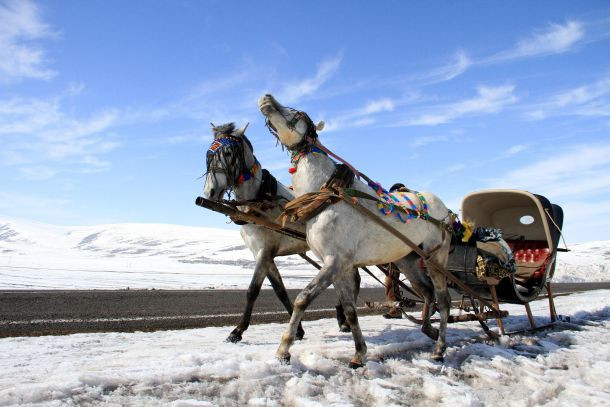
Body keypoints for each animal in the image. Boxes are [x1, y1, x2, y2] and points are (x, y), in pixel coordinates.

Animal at [202, 122, 358, 342]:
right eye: (208, 154)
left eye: (229, 152)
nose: (211, 192)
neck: (258, 201)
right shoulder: (263, 253)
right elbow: (279, 290)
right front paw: (299, 329)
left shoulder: (264, 251)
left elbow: (252, 290)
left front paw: (237, 331)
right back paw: (342, 317)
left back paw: (344, 319)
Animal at [256, 95, 452, 366]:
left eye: (297, 113)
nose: (266, 98)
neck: (328, 195)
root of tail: (445, 211)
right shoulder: (341, 266)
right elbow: (349, 310)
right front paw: (359, 353)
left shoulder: (335, 261)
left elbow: (303, 298)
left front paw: (284, 349)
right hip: (409, 261)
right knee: (427, 292)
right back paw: (428, 329)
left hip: (436, 259)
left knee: (444, 300)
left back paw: (440, 348)